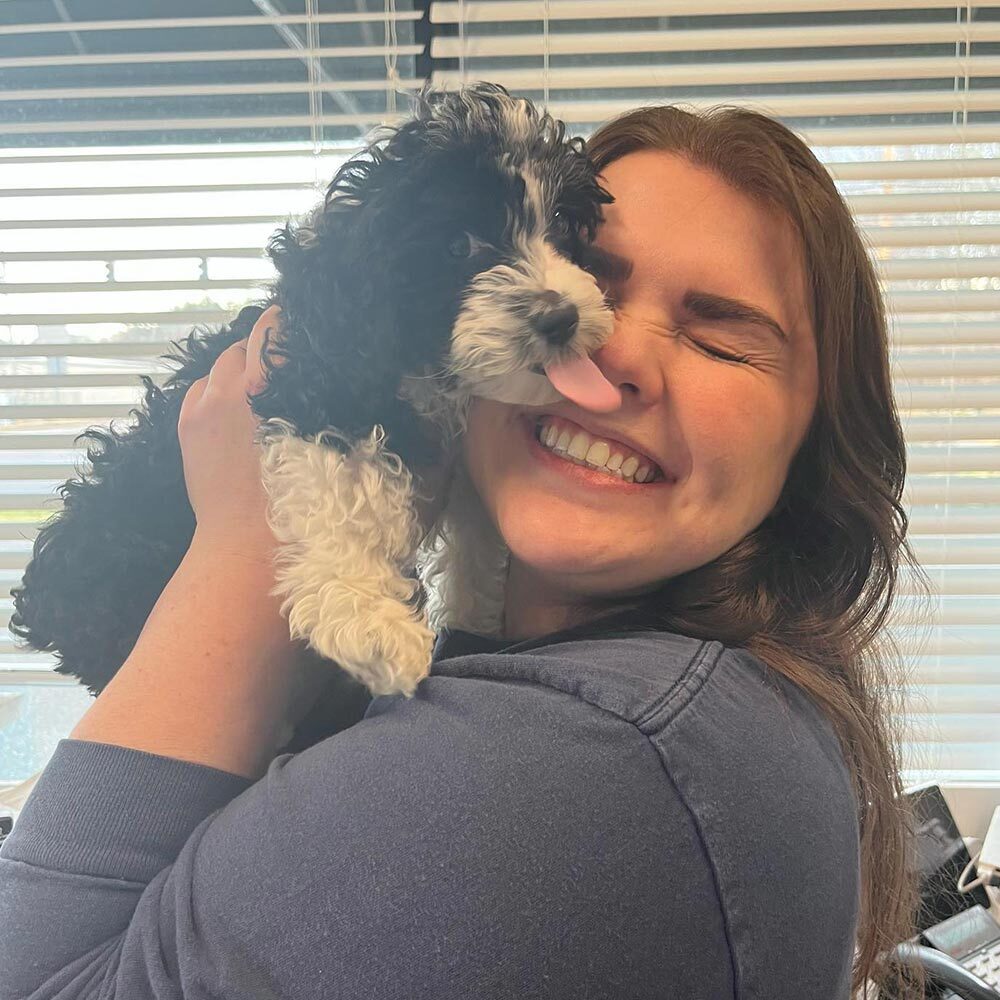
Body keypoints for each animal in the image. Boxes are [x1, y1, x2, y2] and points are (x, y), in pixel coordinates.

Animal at [7, 82, 620, 744]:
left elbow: (478, 538)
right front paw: (370, 621)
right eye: (459, 246)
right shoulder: (314, 383)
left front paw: (473, 615)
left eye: (562, 226)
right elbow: (345, 484)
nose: (561, 318)